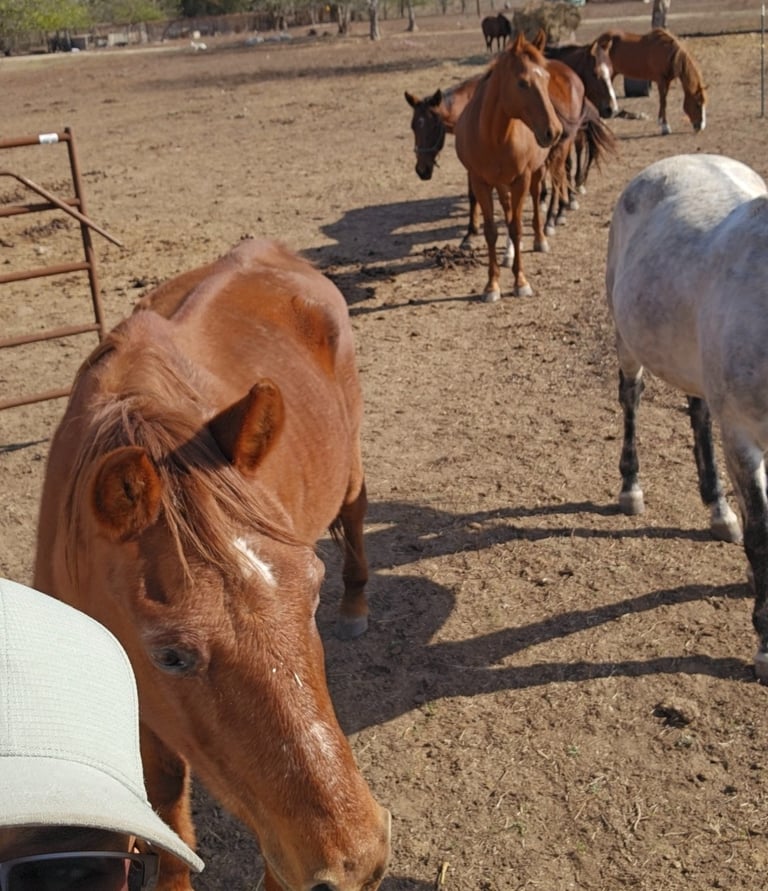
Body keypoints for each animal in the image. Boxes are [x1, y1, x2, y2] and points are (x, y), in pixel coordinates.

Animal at [32, 238, 392, 891]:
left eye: (313, 593)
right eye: (171, 655)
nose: (360, 861)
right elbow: (164, 798)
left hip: (350, 464)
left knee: (354, 514)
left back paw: (358, 603)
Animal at [454, 32, 562, 301]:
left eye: (546, 78)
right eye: (522, 83)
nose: (554, 131)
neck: (494, 136)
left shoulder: (521, 179)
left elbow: (516, 227)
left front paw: (520, 281)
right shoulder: (480, 182)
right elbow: (492, 231)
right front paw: (492, 285)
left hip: (534, 174)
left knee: (533, 201)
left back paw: (539, 239)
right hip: (501, 184)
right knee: (507, 208)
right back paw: (509, 253)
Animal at [606, 153, 768, 680]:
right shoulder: (742, 436)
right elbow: (762, 534)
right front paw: (765, 644)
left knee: (697, 411)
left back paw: (718, 508)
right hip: (627, 340)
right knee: (631, 398)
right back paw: (631, 488)